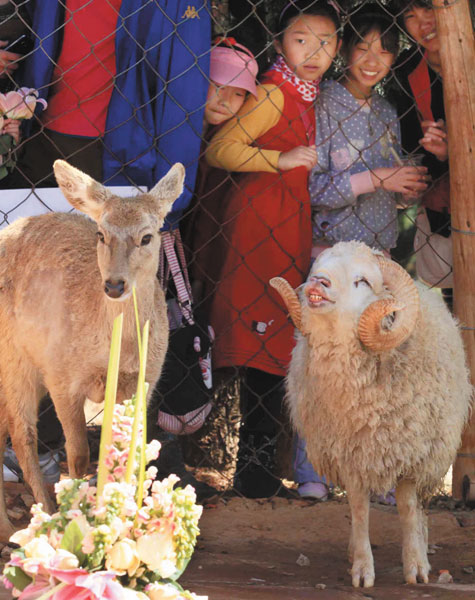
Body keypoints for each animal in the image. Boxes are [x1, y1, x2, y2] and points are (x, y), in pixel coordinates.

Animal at [0, 159, 185, 540]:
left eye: (147, 236)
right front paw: (78, 517)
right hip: (16, 358)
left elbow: (125, 453)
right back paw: (25, 521)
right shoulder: (62, 376)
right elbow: (79, 455)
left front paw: (121, 524)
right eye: (101, 234)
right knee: (22, 435)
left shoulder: (143, 381)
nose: (114, 285)